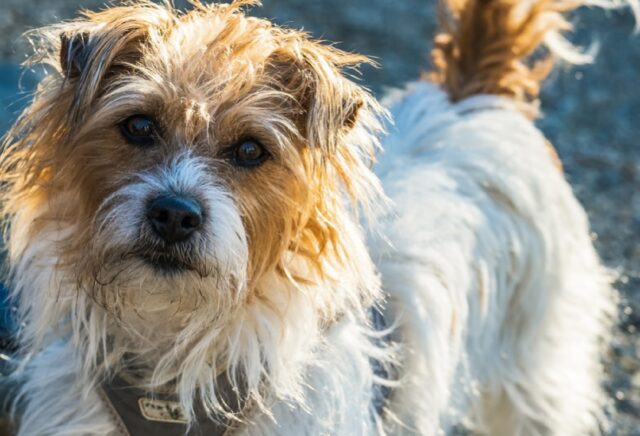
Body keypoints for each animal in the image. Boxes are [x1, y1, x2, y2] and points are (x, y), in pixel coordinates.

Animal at [2, 0, 636, 434]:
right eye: (138, 126)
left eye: (251, 150)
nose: (175, 215)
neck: (176, 352)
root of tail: (472, 94)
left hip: (535, 379)